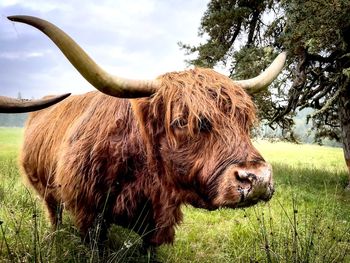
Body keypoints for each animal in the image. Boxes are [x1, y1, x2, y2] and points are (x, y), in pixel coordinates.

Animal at [8, 16, 288, 250]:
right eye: (181, 121)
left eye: (245, 120)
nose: (258, 179)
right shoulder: (90, 212)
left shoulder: (160, 218)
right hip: (44, 187)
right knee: (53, 211)